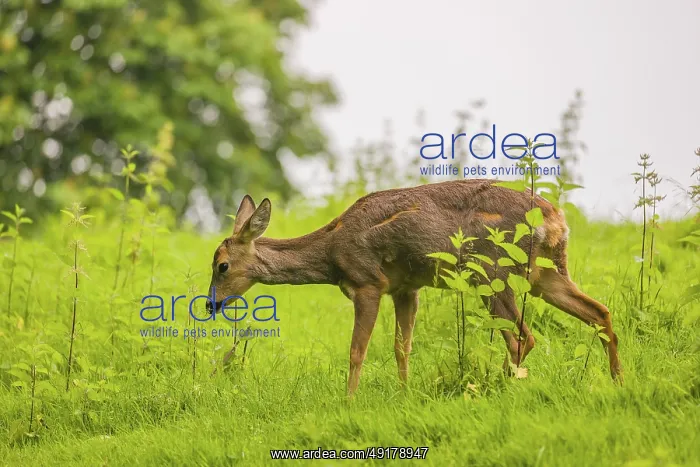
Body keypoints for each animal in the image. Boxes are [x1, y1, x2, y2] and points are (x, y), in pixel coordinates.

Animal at [206, 179, 622, 396]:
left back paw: (501, 387)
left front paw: (349, 400)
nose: (211, 304)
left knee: (523, 336)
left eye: (221, 265)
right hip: (545, 273)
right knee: (599, 312)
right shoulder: (406, 288)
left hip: (493, 272)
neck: (332, 251)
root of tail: (555, 218)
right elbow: (401, 347)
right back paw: (618, 380)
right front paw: (405, 393)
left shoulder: (368, 283)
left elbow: (357, 350)